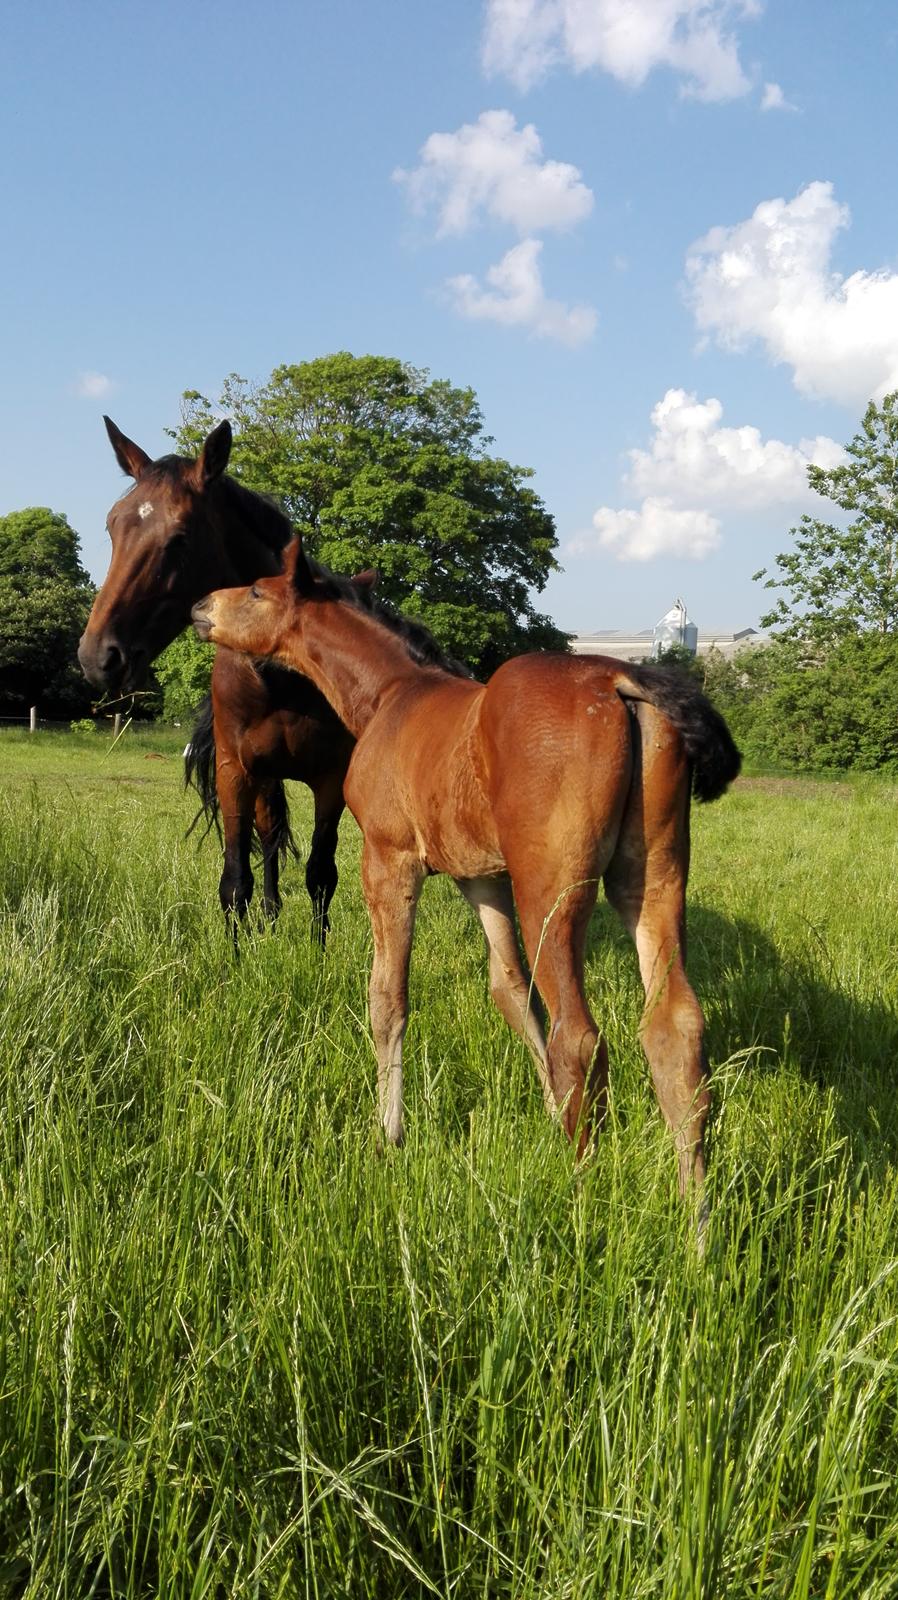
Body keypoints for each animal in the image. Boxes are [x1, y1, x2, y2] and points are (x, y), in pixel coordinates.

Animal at [78, 419, 461, 934]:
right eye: (112, 526)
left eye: (180, 538)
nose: (98, 656)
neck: (278, 680)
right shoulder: (234, 772)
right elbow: (235, 879)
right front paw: (236, 951)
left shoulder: (330, 780)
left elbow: (321, 875)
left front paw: (318, 953)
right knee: (269, 837)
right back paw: (271, 915)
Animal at [192, 544, 739, 1196]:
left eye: (256, 591)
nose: (201, 607)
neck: (391, 694)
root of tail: (620, 681)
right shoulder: (480, 879)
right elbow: (510, 992)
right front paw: (547, 1110)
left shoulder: (389, 862)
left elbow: (388, 999)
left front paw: (389, 1134)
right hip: (651, 881)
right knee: (673, 1029)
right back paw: (695, 1211)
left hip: (552, 893)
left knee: (580, 1036)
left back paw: (580, 1189)